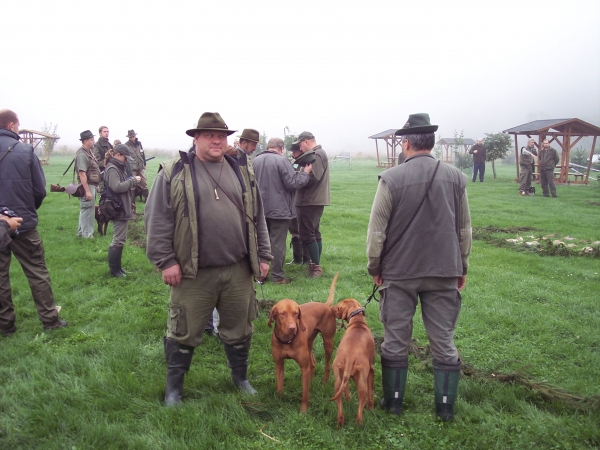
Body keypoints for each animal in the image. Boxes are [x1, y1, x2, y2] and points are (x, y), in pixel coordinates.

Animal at [268, 272, 339, 413]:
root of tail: (325, 305)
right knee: (313, 363)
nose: (292, 328)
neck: (287, 340)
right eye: (282, 313)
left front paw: (303, 411)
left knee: (327, 365)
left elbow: (305, 394)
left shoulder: (303, 368)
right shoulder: (279, 364)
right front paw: (279, 401)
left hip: (328, 343)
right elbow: (279, 386)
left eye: (296, 313)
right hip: (309, 344)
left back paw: (324, 382)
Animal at [329, 298, 375, 428]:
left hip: (338, 380)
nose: (331, 309)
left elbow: (346, 388)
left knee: (339, 398)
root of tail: (350, 357)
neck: (358, 323)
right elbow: (371, 392)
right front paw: (371, 407)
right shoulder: (371, 370)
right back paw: (359, 422)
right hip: (362, 382)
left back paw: (340, 421)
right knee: (363, 398)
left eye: (338, 307)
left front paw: (348, 398)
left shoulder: (348, 376)